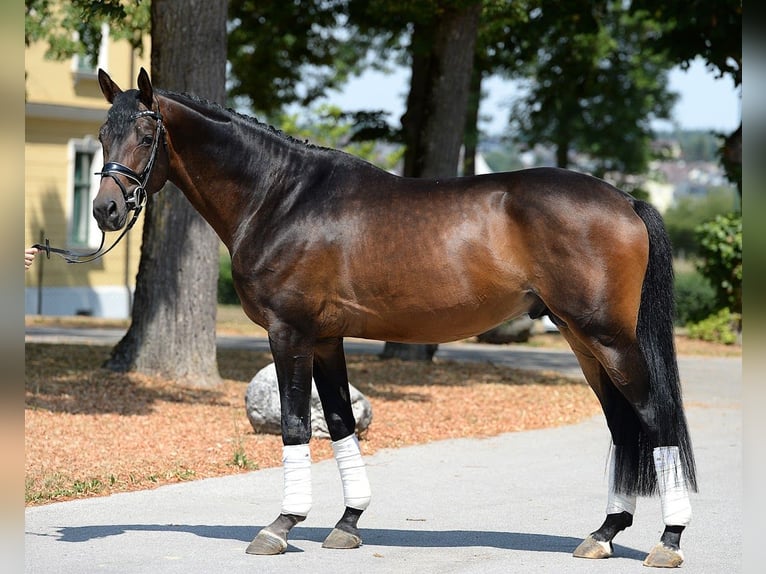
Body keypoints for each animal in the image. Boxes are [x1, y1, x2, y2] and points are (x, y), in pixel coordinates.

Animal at [92, 68, 697, 568]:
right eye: (102, 135)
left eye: (146, 135)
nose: (106, 210)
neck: (281, 197)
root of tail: (625, 199)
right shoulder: (326, 338)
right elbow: (339, 422)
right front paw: (348, 523)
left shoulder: (289, 333)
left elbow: (295, 425)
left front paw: (281, 526)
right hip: (581, 339)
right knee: (623, 425)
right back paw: (603, 534)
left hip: (608, 338)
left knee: (656, 418)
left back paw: (668, 540)